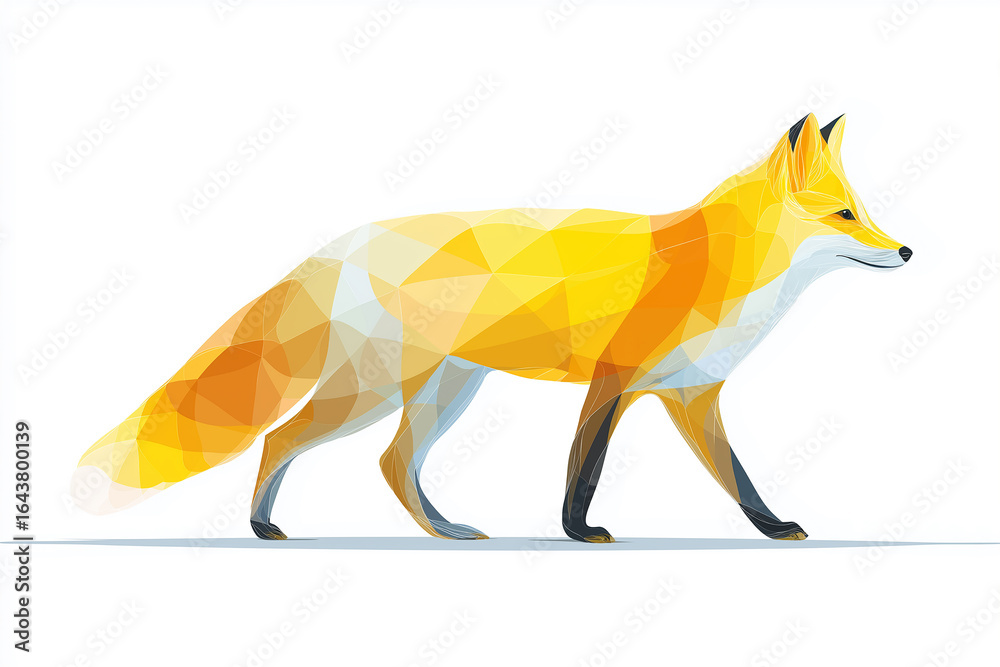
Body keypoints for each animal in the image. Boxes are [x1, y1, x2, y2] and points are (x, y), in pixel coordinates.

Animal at [72, 113, 911, 542]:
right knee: (284, 438)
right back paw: (261, 527)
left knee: (391, 464)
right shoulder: (614, 381)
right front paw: (578, 532)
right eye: (844, 215)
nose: (906, 250)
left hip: (442, 392)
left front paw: (773, 527)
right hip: (373, 393)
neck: (726, 271)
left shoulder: (690, 395)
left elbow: (738, 479)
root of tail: (337, 243)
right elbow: (584, 470)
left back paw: (443, 530)